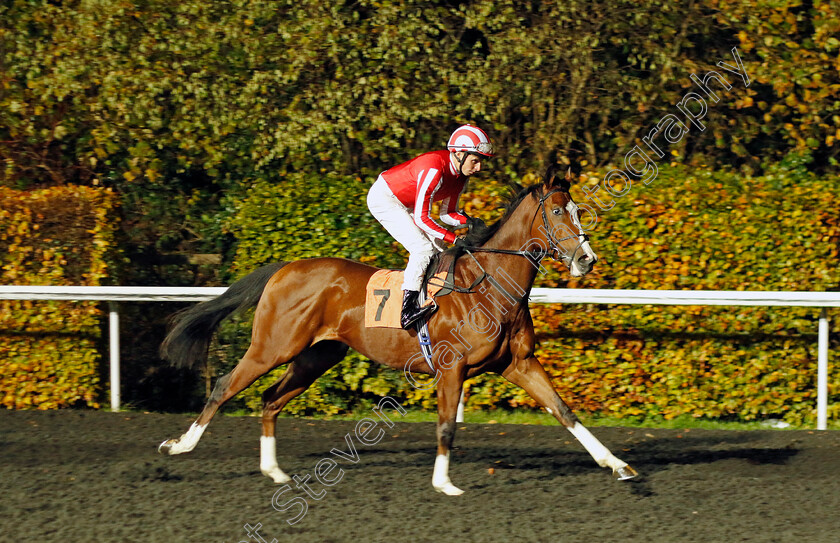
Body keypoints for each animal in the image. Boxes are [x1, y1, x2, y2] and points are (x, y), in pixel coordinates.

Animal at [159, 166, 636, 498]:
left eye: (576, 211)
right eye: (556, 212)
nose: (587, 259)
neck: (490, 286)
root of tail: (285, 267)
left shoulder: (518, 363)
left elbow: (564, 410)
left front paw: (617, 464)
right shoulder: (452, 368)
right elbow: (445, 427)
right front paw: (445, 484)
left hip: (316, 355)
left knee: (270, 399)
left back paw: (273, 470)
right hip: (273, 346)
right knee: (225, 385)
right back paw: (179, 446)